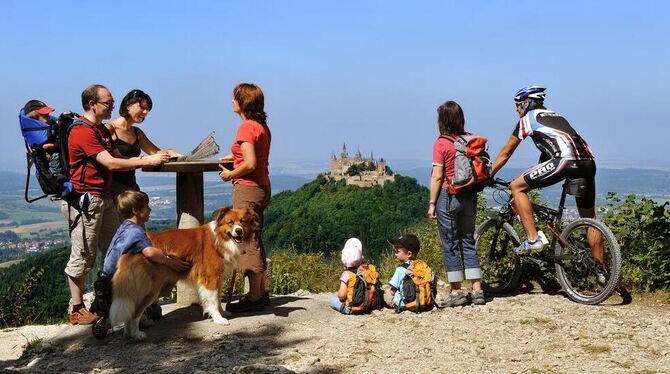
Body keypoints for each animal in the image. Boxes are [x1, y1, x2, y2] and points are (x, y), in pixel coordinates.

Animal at [109, 206, 258, 340]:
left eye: (243, 221)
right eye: (230, 222)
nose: (238, 231)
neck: (220, 237)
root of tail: (134, 246)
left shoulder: (218, 278)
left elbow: (217, 299)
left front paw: (222, 313)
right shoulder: (210, 278)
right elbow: (213, 301)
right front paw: (218, 319)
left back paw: (128, 334)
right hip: (151, 290)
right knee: (135, 313)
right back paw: (137, 335)